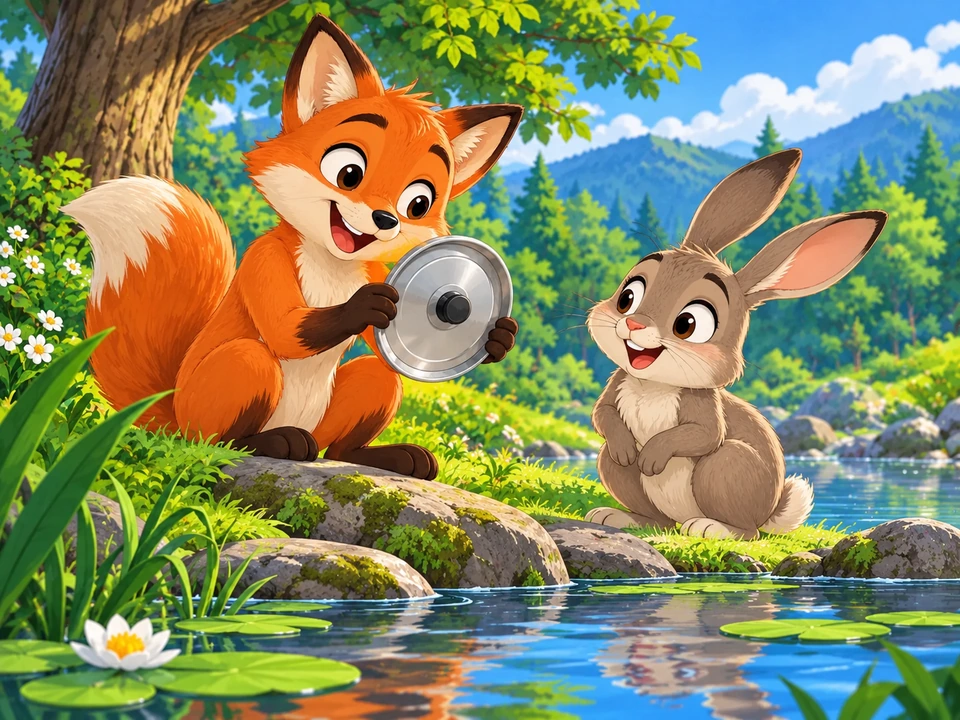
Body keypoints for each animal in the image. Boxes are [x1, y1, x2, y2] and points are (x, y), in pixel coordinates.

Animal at [61, 15, 522, 481]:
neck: (332, 265)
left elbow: (381, 348)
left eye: (419, 203)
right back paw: (274, 442)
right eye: (349, 173)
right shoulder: (264, 259)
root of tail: (171, 413)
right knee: (219, 439)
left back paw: (393, 456)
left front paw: (499, 339)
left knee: (347, 435)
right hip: (240, 372)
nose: (386, 219)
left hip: (351, 403)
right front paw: (365, 305)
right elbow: (285, 329)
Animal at [584, 148, 887, 540]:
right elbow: (602, 414)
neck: (654, 384)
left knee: (748, 530)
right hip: (616, 470)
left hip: (728, 467)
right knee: (650, 510)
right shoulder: (617, 384)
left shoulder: (703, 409)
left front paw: (651, 456)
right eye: (627, 296)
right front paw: (627, 450)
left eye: (689, 324)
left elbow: (703, 436)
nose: (634, 324)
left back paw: (709, 527)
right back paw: (617, 516)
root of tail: (770, 511)